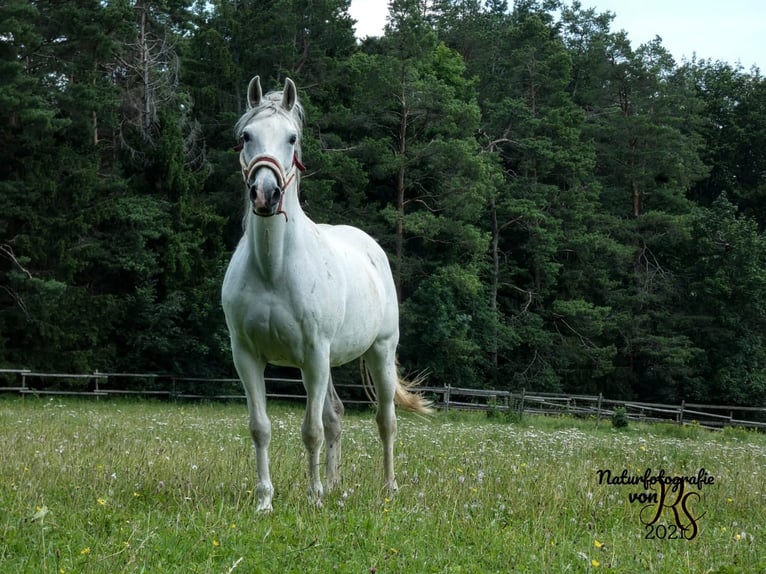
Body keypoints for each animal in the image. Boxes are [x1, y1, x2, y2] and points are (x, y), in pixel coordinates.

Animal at [220, 76, 432, 512]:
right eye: (246, 136)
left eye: (292, 138)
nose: (265, 194)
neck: (274, 269)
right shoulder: (247, 356)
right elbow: (261, 427)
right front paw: (265, 500)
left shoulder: (314, 355)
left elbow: (312, 430)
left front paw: (314, 498)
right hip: (328, 362)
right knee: (336, 415)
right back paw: (335, 484)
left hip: (379, 351)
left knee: (386, 421)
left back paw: (388, 487)